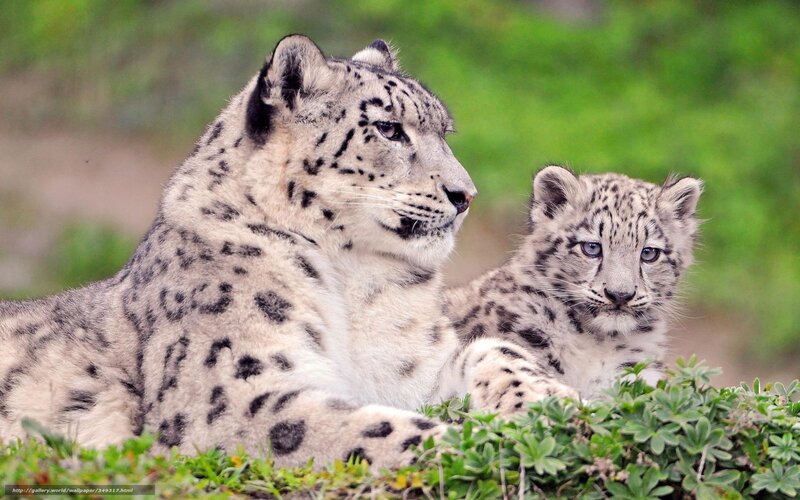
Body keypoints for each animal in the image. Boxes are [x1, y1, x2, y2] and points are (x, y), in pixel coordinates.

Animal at [0, 36, 580, 470]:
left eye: (445, 131)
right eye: (388, 128)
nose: (466, 195)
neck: (357, 283)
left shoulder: (412, 367)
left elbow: (493, 351)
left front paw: (559, 404)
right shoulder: (235, 393)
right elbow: (364, 427)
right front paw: (488, 446)